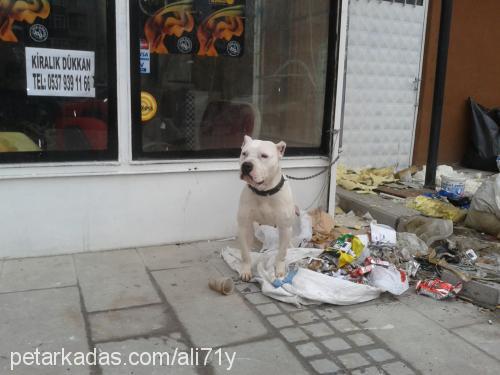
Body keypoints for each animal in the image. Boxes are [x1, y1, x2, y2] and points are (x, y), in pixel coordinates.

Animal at [236, 136, 294, 282]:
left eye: (264, 156)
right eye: (244, 153)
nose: (246, 165)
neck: (264, 192)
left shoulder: (285, 228)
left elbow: (281, 253)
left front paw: (279, 270)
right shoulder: (244, 226)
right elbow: (245, 253)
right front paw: (246, 270)